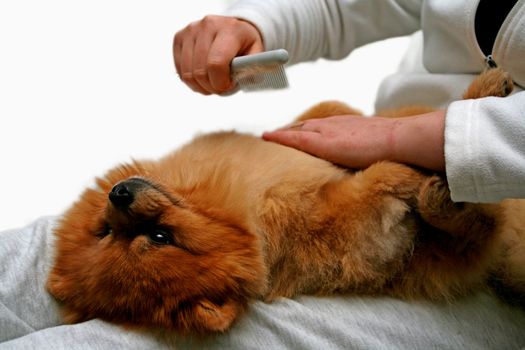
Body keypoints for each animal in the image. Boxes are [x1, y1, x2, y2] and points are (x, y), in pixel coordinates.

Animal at [47, 67, 520, 334]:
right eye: (160, 237)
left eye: (104, 231)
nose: (119, 193)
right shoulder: (350, 228)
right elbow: (383, 175)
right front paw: (407, 171)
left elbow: (335, 115)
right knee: (482, 221)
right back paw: (442, 192)